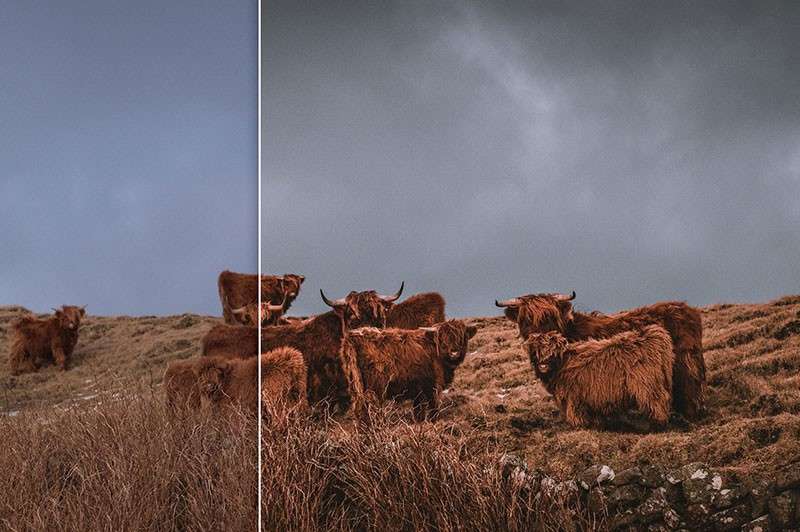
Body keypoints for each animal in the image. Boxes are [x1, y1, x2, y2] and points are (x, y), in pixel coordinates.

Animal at [340, 320, 478, 420]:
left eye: (461, 337)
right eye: (442, 339)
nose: (454, 352)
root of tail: (352, 337)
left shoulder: (417, 391)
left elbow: (418, 412)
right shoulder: (431, 386)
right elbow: (433, 407)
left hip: (355, 384)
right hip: (374, 388)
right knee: (369, 409)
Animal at [524, 324, 676, 428]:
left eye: (553, 352)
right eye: (536, 351)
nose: (543, 365)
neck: (562, 364)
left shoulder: (574, 396)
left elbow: (575, 412)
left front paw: (579, 425)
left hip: (647, 385)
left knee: (658, 400)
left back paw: (657, 424)